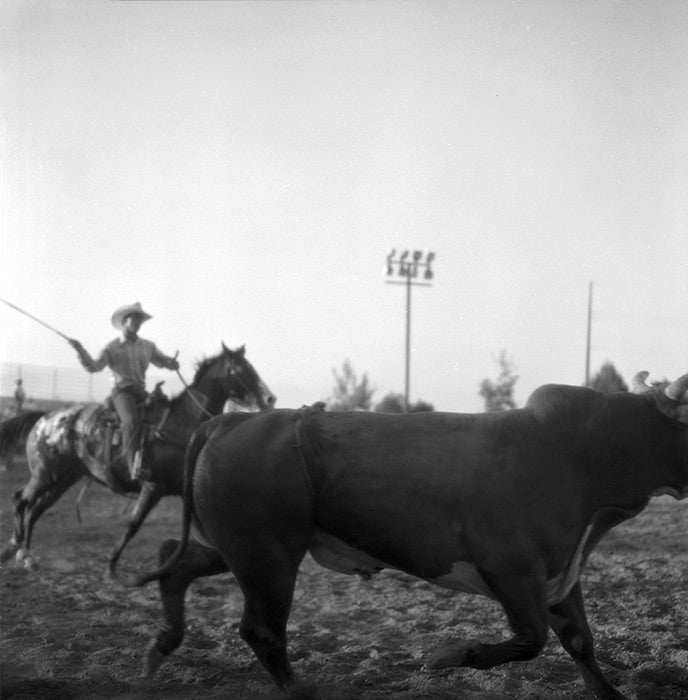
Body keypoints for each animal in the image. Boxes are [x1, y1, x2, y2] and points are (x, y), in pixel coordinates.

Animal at [0, 342, 274, 576]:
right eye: (240, 369)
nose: (270, 398)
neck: (180, 425)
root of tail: (44, 418)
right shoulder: (152, 486)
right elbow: (133, 524)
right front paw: (110, 566)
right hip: (44, 475)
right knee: (20, 500)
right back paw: (18, 550)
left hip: (63, 479)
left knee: (35, 509)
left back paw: (26, 555)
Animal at [136, 378, 688, 700]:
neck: (577, 453)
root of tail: (229, 420)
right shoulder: (513, 571)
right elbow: (531, 640)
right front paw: (448, 657)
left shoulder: (560, 572)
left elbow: (578, 640)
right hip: (267, 555)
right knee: (261, 629)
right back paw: (297, 689)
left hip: (238, 549)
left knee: (175, 565)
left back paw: (160, 648)